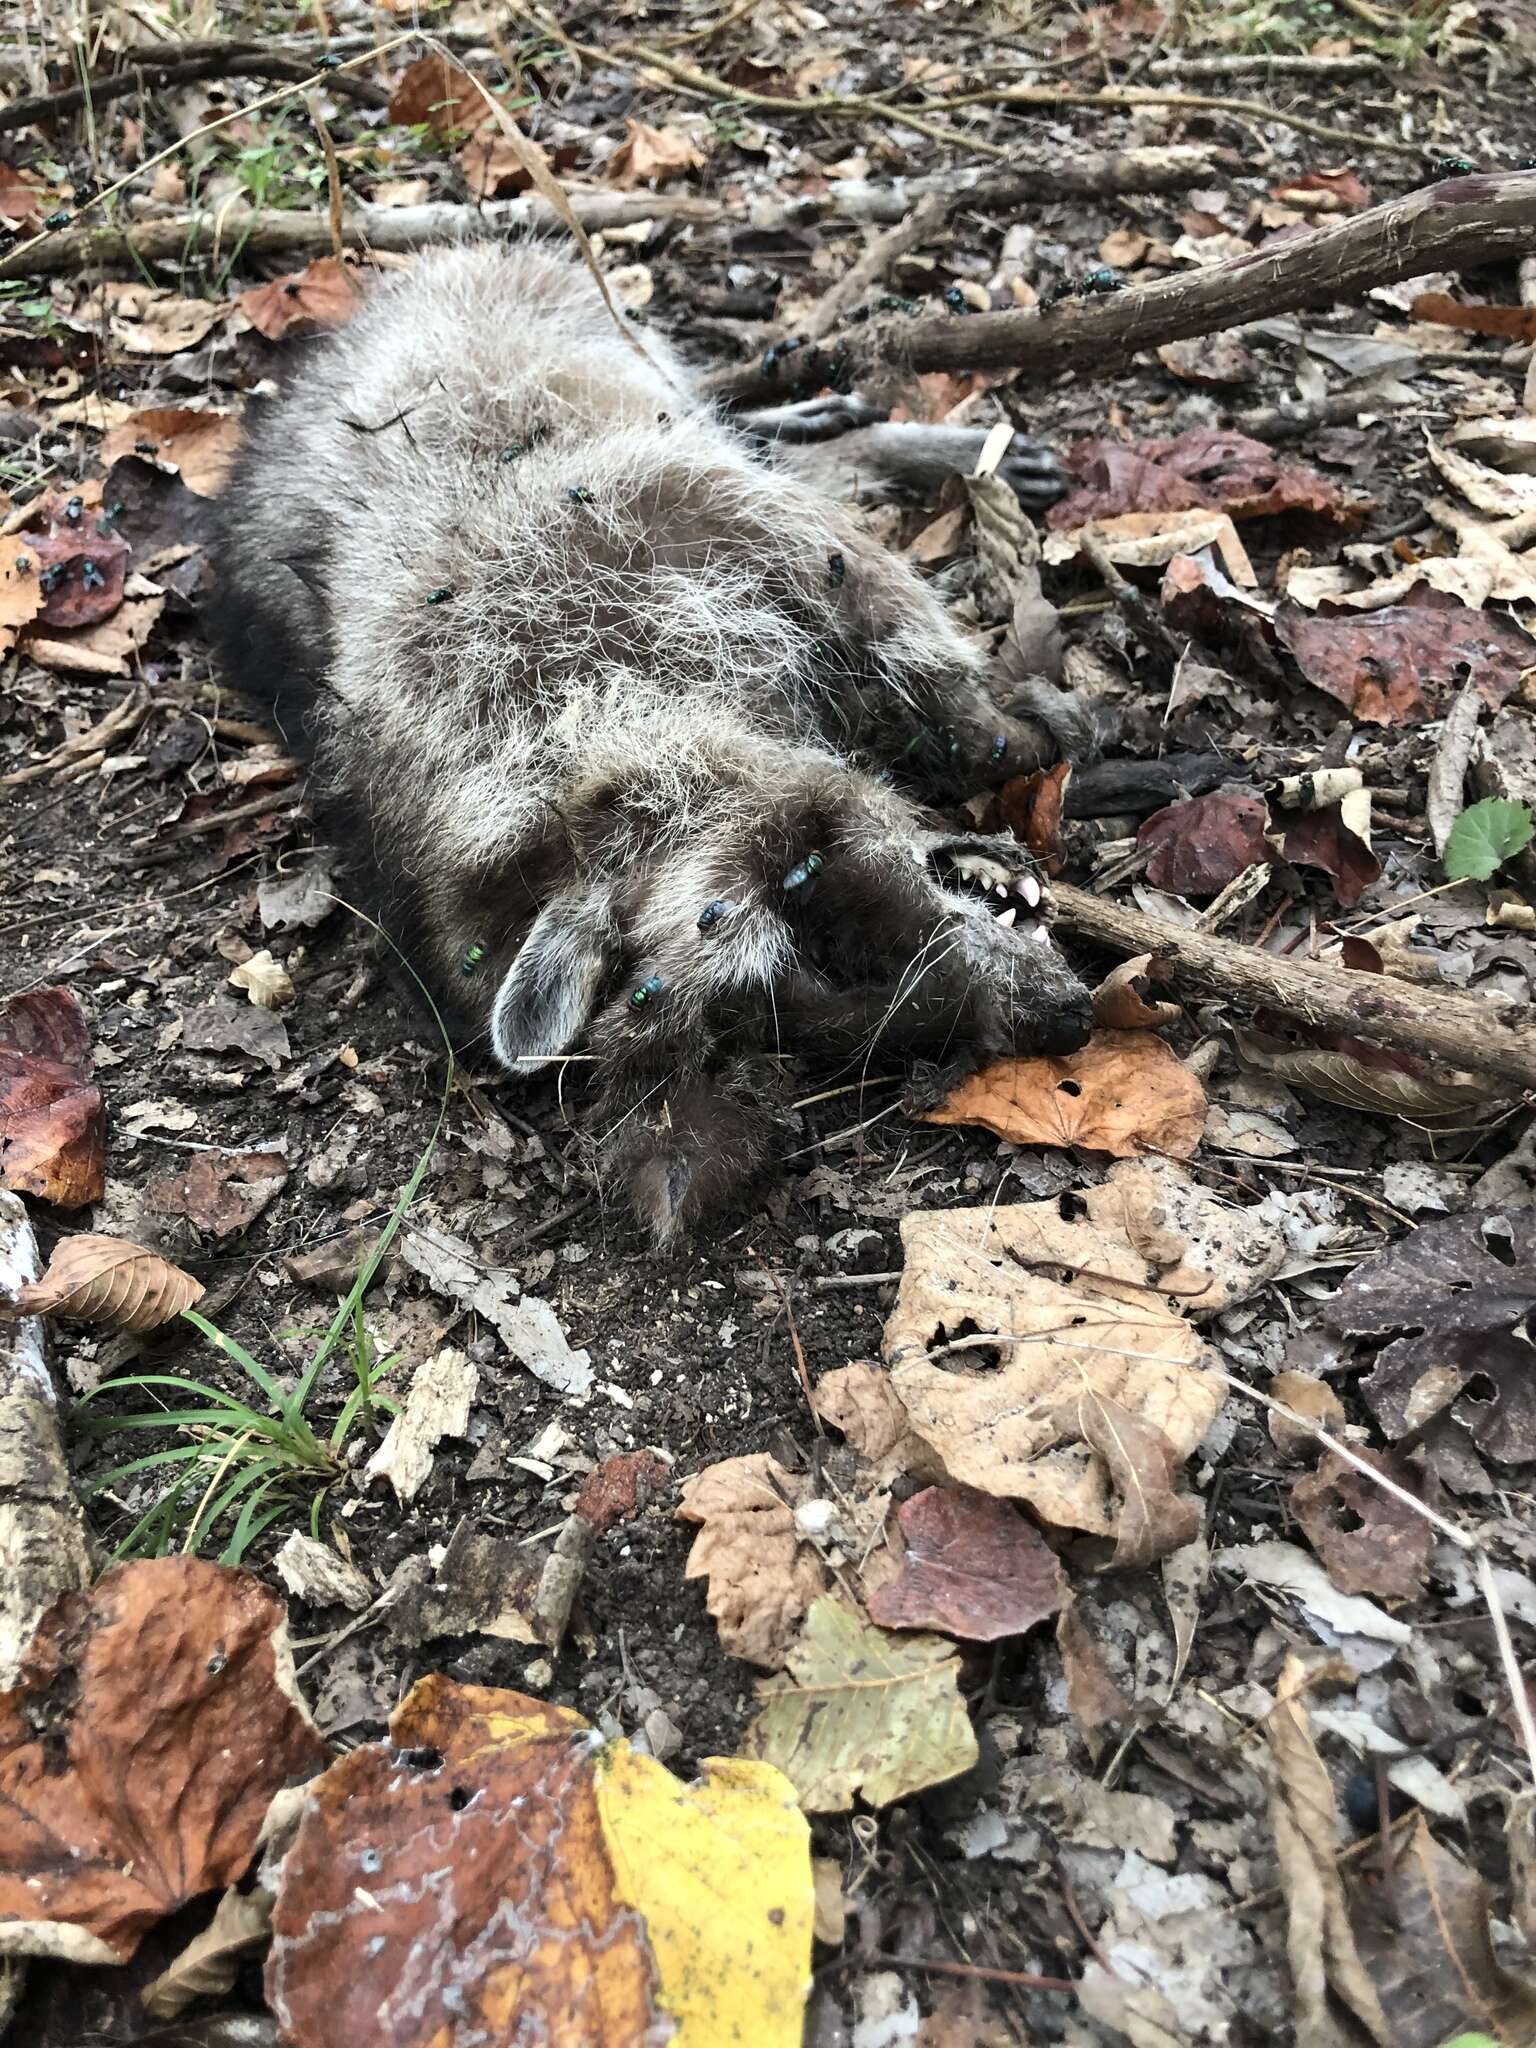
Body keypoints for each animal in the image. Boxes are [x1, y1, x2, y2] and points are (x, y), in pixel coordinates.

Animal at [217, 239, 1097, 1228]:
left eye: (822, 920)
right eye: (845, 1005)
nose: (1067, 1019)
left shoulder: (644, 528)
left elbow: (865, 585)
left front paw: (995, 725)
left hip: (566, 318)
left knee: (725, 422)